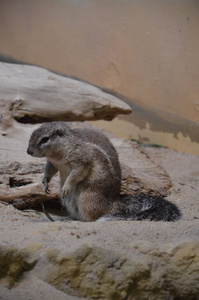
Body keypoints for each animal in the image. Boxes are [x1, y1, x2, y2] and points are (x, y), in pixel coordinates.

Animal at [27, 122, 181, 223]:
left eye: (45, 139)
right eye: (32, 133)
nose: (28, 151)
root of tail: (114, 204)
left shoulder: (83, 160)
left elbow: (76, 173)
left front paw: (66, 186)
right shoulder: (53, 163)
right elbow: (48, 170)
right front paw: (44, 182)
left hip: (85, 196)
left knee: (93, 217)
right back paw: (68, 217)